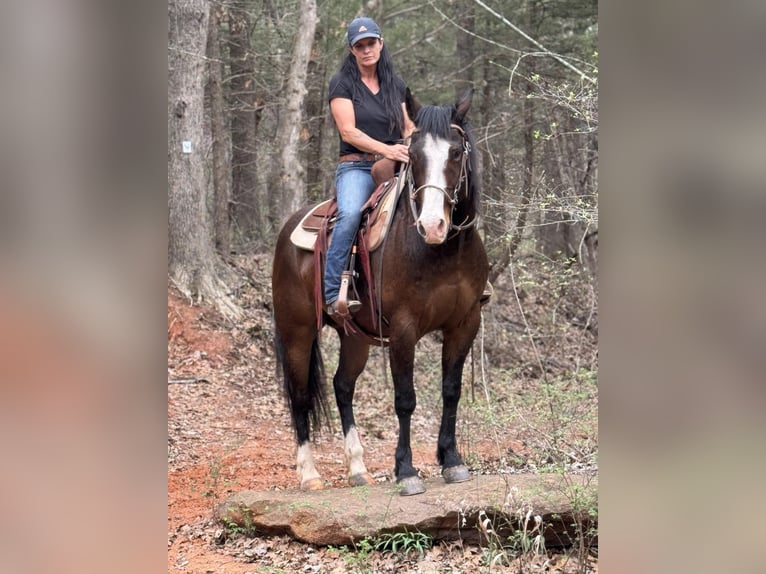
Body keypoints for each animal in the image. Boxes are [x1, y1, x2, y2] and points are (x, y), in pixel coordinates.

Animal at [272, 89, 488, 496]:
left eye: (455, 152)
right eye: (412, 155)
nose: (433, 225)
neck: (442, 251)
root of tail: (289, 226)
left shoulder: (465, 323)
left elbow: (450, 391)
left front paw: (452, 461)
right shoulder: (403, 329)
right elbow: (405, 399)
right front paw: (406, 471)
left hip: (354, 336)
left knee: (342, 387)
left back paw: (357, 468)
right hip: (297, 331)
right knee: (301, 394)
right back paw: (309, 474)